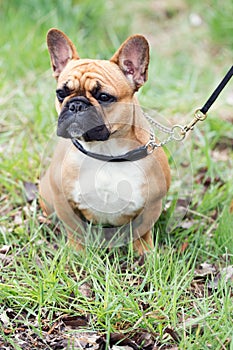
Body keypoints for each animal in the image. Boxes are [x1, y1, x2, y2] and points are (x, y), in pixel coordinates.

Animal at [39, 28, 170, 253]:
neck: (106, 152)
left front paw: (144, 253)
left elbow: (143, 232)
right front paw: (77, 253)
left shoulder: (151, 205)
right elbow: (74, 230)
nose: (76, 105)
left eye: (104, 97)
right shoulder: (64, 202)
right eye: (61, 93)